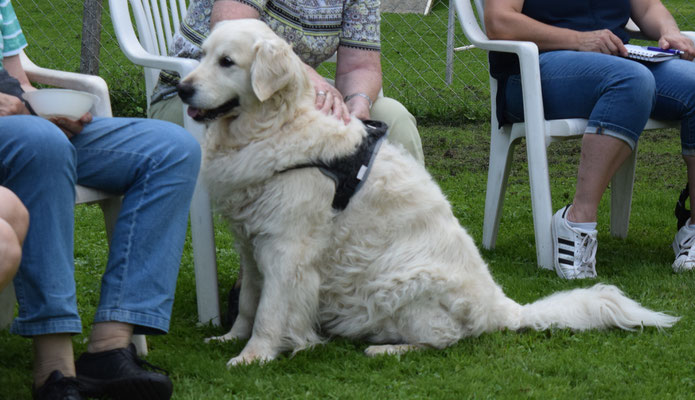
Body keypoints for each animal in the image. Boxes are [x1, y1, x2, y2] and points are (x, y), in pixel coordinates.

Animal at [178, 20, 680, 368]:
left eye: (227, 62)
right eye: (201, 56)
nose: (181, 88)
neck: (273, 127)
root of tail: (503, 307)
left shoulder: (287, 247)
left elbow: (271, 309)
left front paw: (254, 355)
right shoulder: (251, 242)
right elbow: (249, 301)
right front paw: (230, 338)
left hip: (397, 283)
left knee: (447, 338)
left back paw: (390, 349)